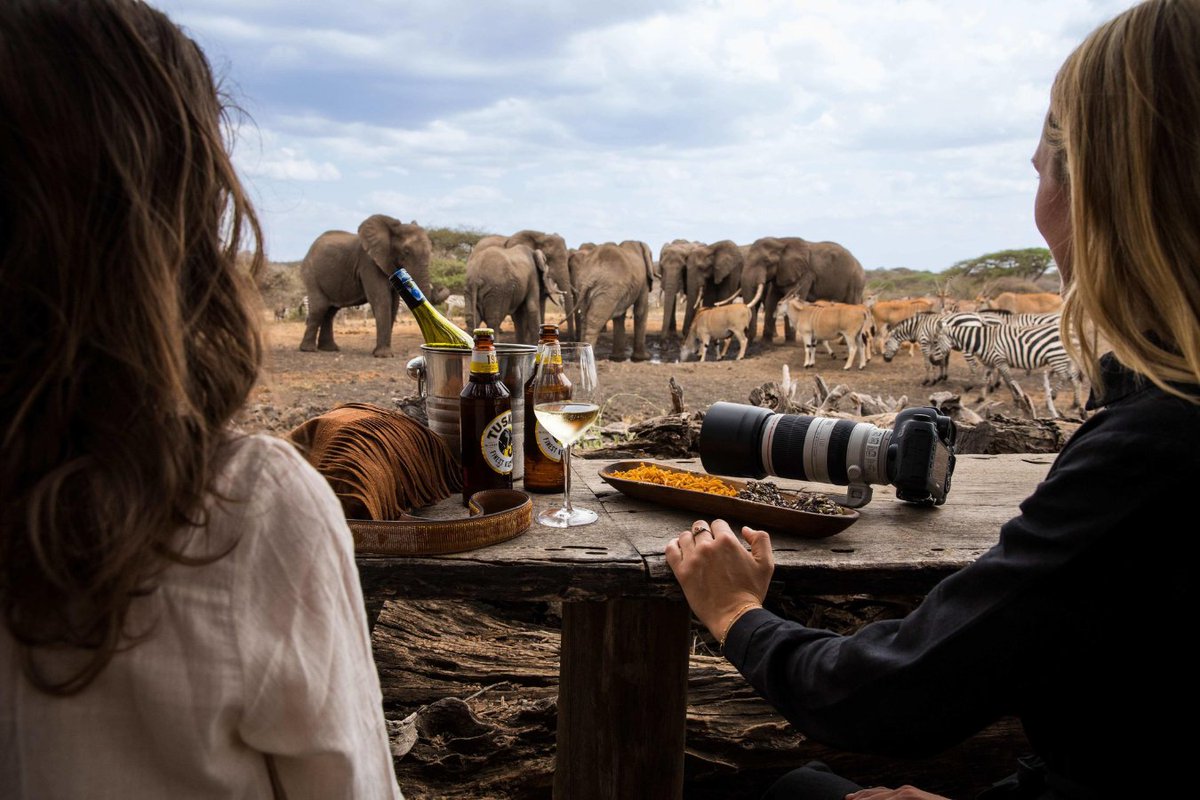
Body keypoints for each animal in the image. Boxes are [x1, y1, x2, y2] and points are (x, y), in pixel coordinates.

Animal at [300, 215, 436, 359]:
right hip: (311, 275)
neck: (392, 229)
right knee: (319, 308)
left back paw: (329, 349)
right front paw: (384, 355)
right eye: (406, 251)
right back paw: (308, 350)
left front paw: (380, 353)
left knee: (330, 311)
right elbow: (382, 300)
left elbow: (394, 304)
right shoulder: (369, 263)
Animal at [926, 319, 1089, 419]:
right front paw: (981, 398)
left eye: (935, 342)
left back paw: (1053, 396)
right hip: (1065, 358)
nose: (931, 360)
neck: (984, 341)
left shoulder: (1000, 360)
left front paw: (1017, 400)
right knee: (1075, 379)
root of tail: (1072, 331)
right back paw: (1075, 403)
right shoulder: (990, 363)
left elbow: (1009, 381)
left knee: (1064, 376)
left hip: (1056, 356)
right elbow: (986, 380)